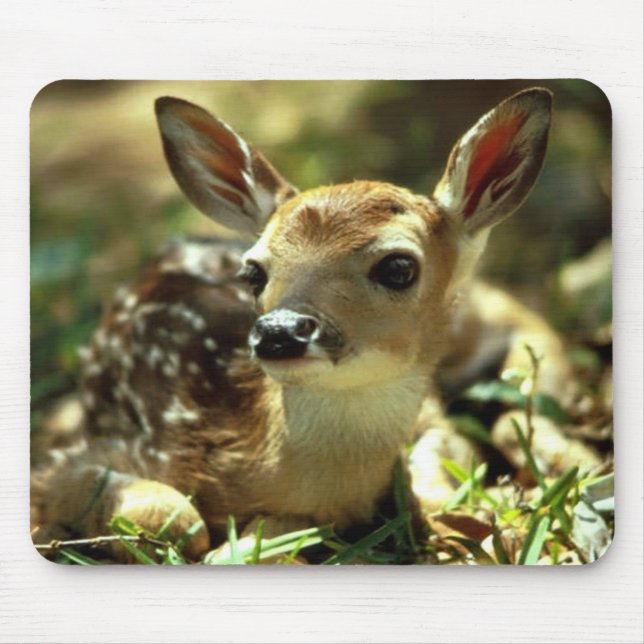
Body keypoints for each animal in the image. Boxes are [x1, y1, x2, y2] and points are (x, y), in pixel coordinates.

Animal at [31, 87, 577, 562]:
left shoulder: (430, 419)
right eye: (253, 272)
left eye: (399, 267)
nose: (279, 331)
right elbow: (177, 518)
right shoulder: (72, 456)